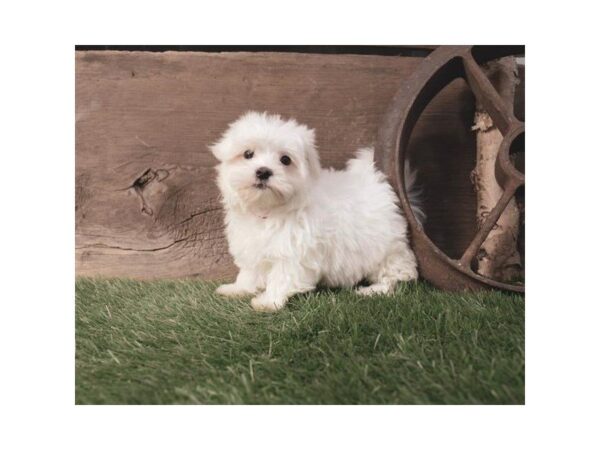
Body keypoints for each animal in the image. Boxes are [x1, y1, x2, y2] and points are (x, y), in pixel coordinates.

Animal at [211, 110, 422, 312]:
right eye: (248, 154)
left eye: (285, 160)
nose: (263, 171)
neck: (269, 210)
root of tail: (376, 182)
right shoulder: (251, 245)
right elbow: (250, 272)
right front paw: (238, 289)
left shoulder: (292, 250)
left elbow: (282, 276)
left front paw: (269, 302)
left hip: (387, 248)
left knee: (399, 274)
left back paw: (374, 290)